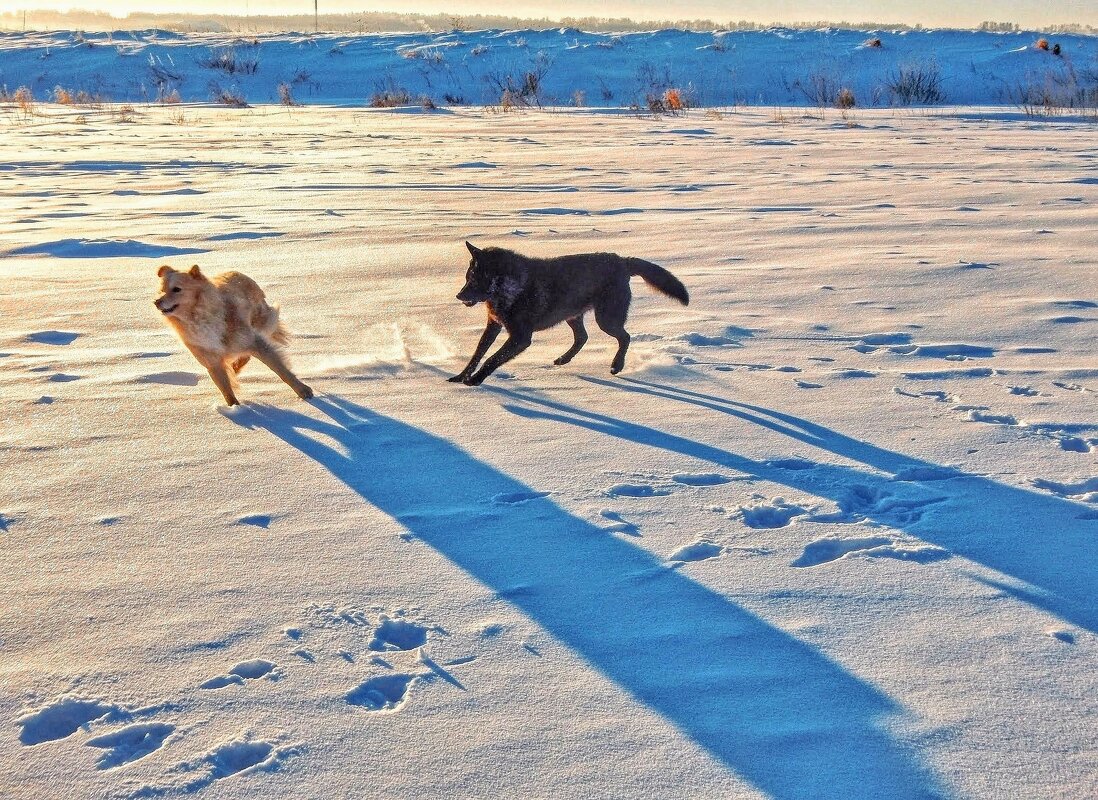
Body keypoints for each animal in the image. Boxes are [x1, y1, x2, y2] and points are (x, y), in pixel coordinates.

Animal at [447, 240, 685, 384]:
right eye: (467, 277)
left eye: (474, 279)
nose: (458, 296)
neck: (509, 288)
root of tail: (621, 260)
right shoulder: (494, 325)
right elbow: (478, 353)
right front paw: (460, 377)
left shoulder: (521, 338)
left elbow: (492, 358)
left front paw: (475, 380)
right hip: (573, 315)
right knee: (583, 337)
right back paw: (563, 359)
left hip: (605, 319)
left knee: (624, 337)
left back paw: (616, 366)